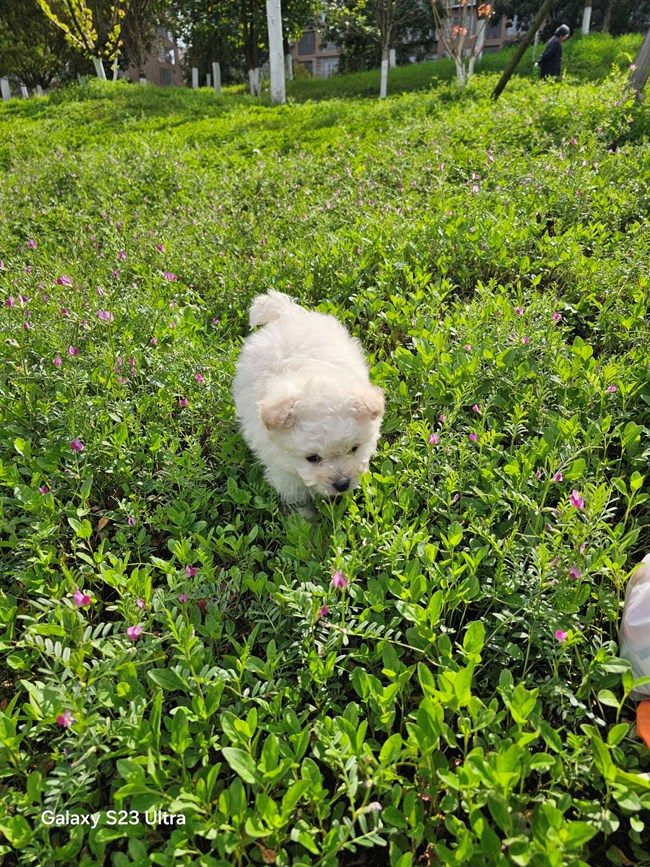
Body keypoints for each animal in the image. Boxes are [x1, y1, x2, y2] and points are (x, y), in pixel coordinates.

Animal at [233, 291, 384, 511]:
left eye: (354, 449)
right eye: (312, 458)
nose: (342, 483)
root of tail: (286, 314)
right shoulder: (283, 471)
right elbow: (299, 499)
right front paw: (307, 518)